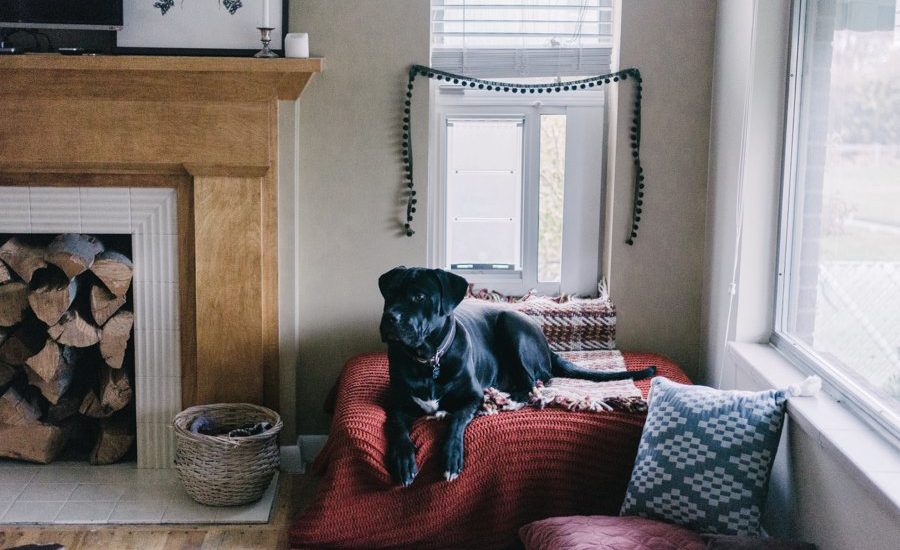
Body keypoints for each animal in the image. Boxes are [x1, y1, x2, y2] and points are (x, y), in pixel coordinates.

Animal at [376, 268, 656, 488]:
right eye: (389, 294)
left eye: (419, 296)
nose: (390, 317)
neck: (427, 360)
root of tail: (547, 346)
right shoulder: (398, 403)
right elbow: (397, 426)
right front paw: (403, 460)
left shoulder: (471, 397)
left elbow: (455, 421)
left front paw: (451, 457)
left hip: (511, 325)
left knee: (533, 381)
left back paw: (509, 398)